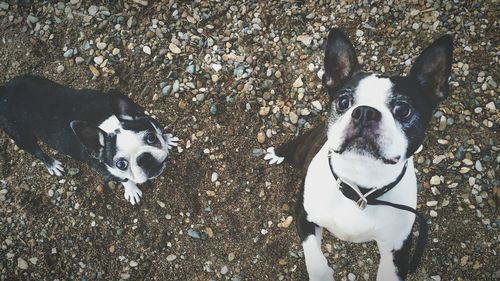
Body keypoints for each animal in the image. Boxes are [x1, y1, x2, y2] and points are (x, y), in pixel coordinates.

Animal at [0, 75, 179, 205]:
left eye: (151, 137)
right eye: (121, 164)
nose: (144, 158)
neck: (108, 124)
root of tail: (4, 90)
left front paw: (167, 139)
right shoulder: (107, 171)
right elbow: (125, 179)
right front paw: (131, 190)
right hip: (20, 136)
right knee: (37, 151)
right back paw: (52, 165)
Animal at [266, 27, 454, 278]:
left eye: (402, 109)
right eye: (344, 101)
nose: (365, 112)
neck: (360, 188)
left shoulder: (398, 250)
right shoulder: (305, 218)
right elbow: (315, 261)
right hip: (301, 150)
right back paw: (276, 153)